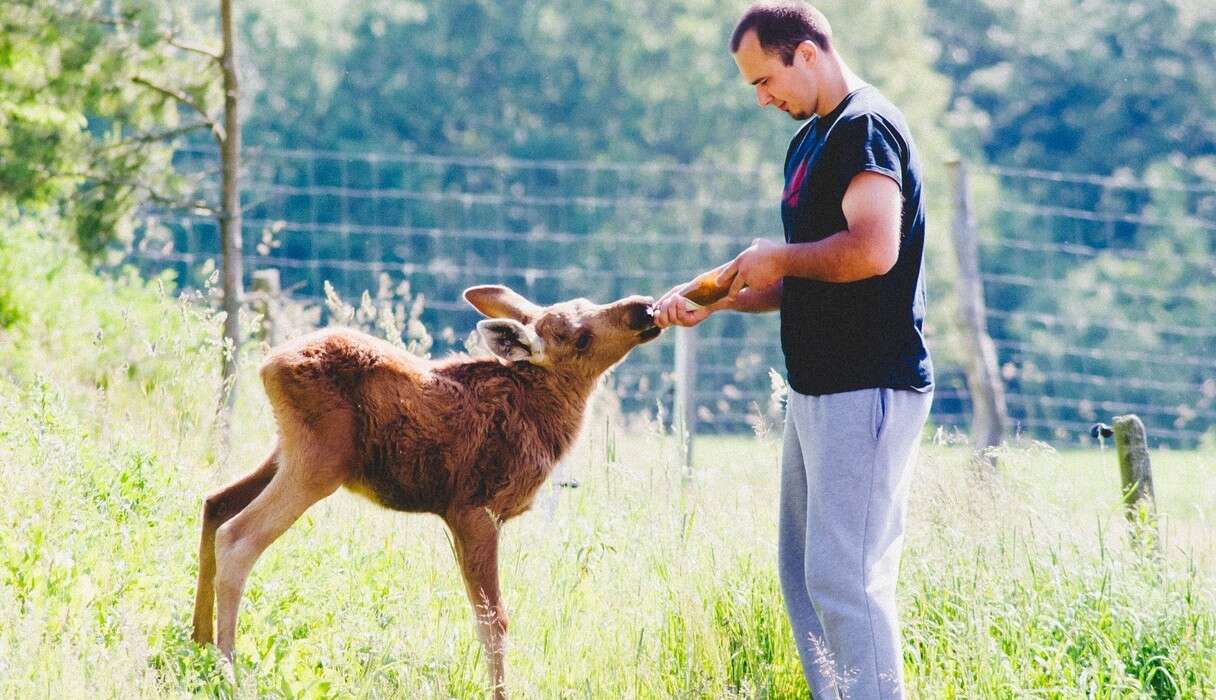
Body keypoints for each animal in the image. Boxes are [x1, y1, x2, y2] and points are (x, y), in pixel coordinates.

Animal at [192, 283, 666, 695]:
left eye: (588, 302)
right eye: (581, 338)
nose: (643, 308)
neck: (546, 419)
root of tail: (268, 365)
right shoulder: (475, 511)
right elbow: (494, 620)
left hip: (285, 452)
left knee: (215, 504)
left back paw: (198, 644)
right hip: (318, 462)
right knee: (237, 536)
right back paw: (227, 671)